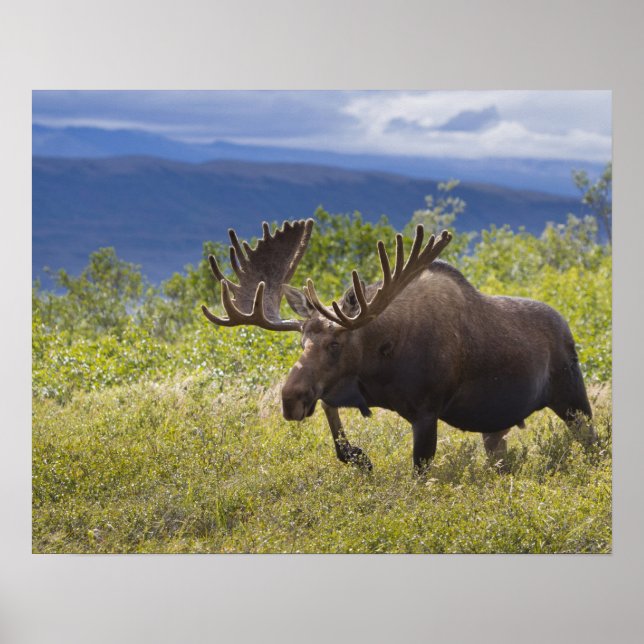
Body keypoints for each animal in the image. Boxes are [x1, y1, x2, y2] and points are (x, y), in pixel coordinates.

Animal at [202, 218, 594, 472]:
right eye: (301, 342)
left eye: (336, 343)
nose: (290, 399)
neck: (381, 362)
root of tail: (568, 329)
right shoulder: (348, 390)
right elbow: (333, 422)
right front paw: (358, 457)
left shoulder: (426, 411)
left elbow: (419, 470)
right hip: (496, 427)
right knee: (499, 455)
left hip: (574, 400)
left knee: (593, 443)